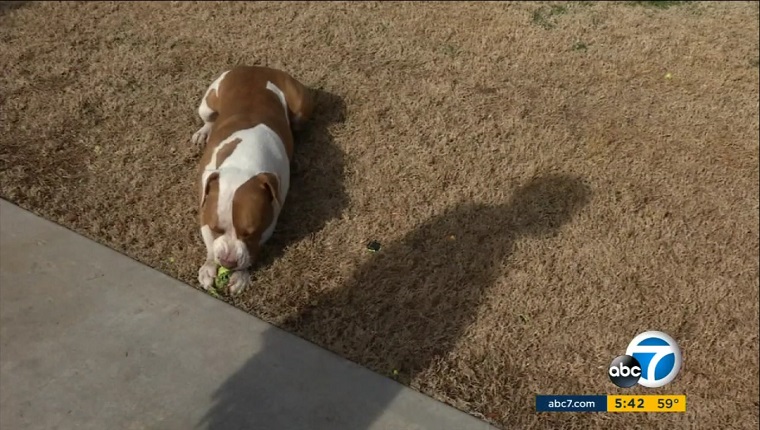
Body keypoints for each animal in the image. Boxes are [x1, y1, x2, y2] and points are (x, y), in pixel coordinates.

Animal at [196, 65, 314, 298]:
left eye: (250, 233)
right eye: (216, 228)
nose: (228, 262)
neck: (242, 162)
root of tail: (258, 68)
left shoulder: (269, 220)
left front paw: (241, 275)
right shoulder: (205, 210)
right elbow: (210, 243)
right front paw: (208, 266)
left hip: (301, 109)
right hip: (207, 103)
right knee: (209, 119)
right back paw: (203, 132)